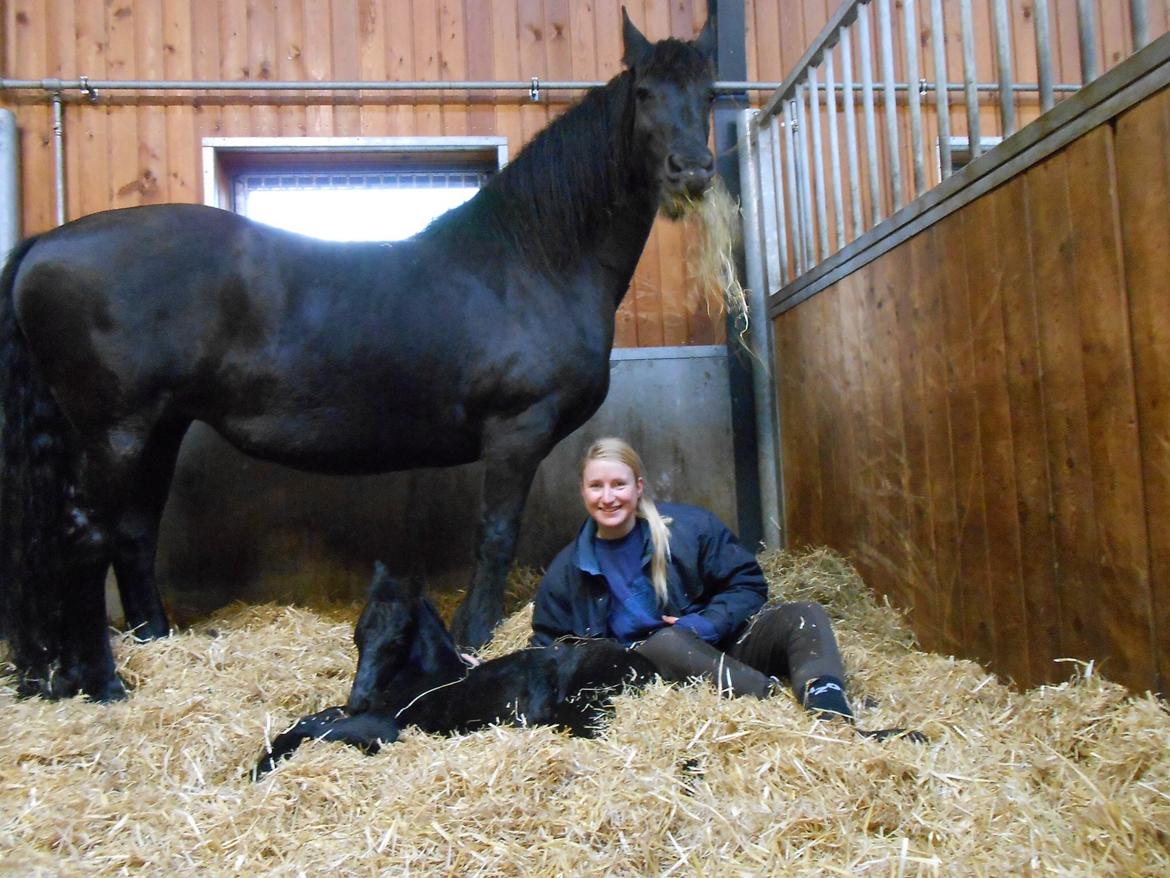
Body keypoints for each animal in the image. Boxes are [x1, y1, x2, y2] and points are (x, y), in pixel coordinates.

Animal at [0, 10, 716, 702]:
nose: (693, 170)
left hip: (159, 429)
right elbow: (496, 536)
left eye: (709, 94)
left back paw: (151, 641)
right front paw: (474, 633)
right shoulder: (517, 431)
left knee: (132, 531)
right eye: (646, 95)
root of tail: (45, 245)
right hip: (115, 433)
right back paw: (104, 682)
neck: (531, 262)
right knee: (86, 536)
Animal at [251, 564, 655, 777]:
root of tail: (643, 664)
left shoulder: (383, 728)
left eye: (398, 639)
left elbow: (313, 727)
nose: (358, 699)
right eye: (358, 635)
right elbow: (311, 719)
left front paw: (262, 767)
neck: (424, 681)